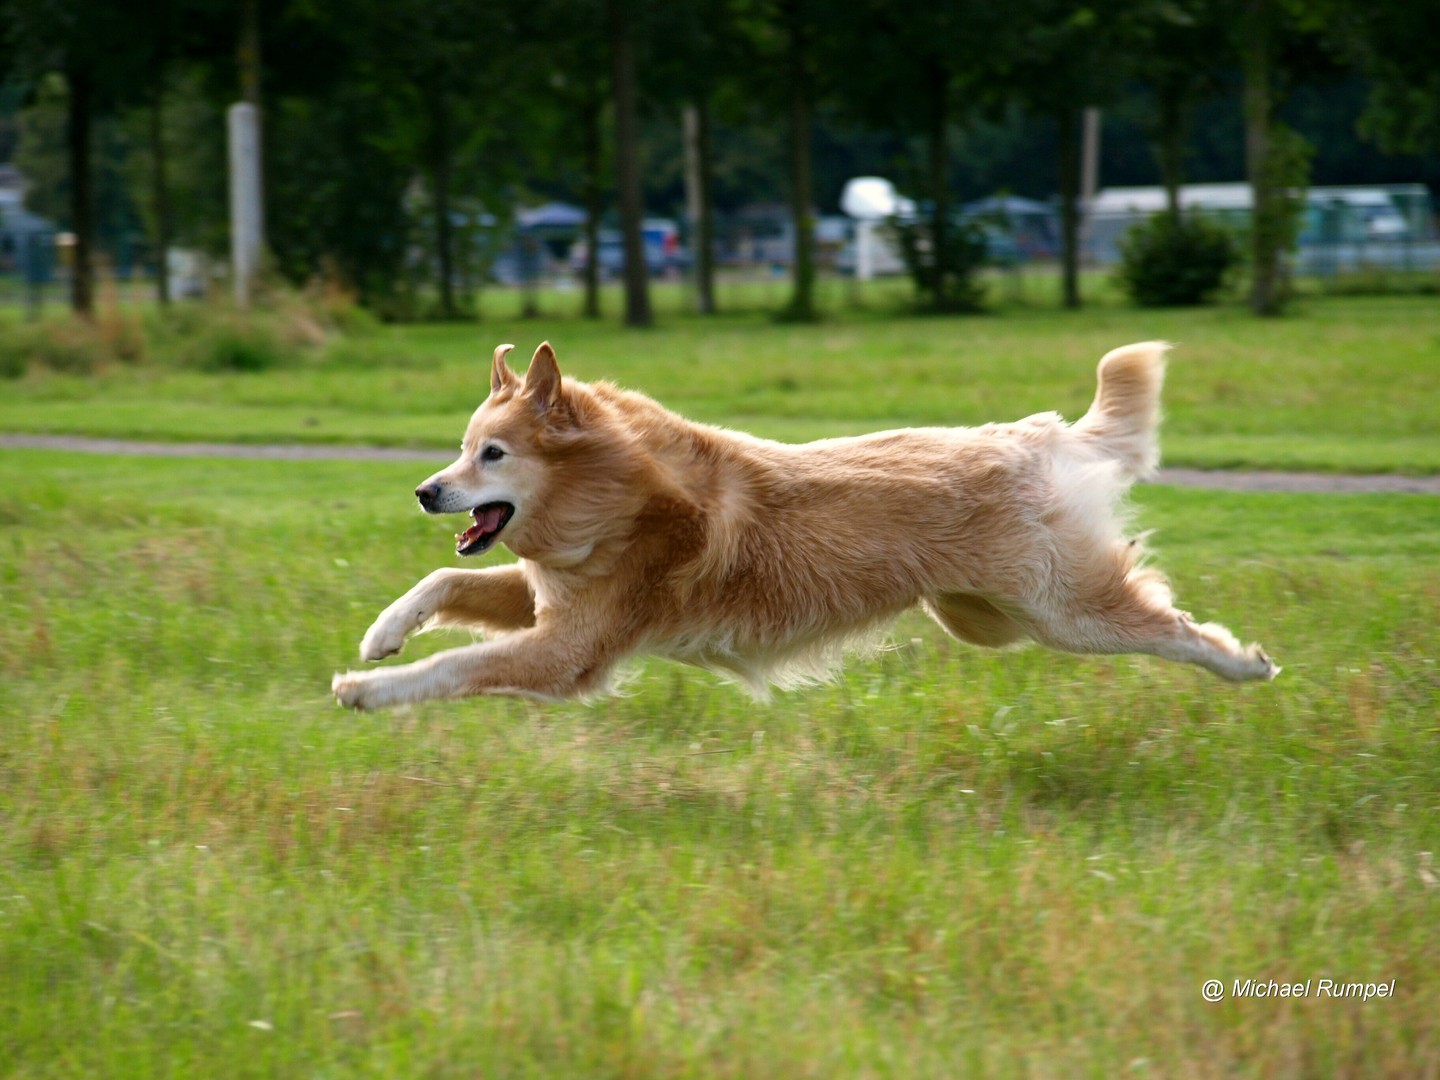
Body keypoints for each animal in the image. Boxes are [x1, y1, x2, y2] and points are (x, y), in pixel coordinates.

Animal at [331, 339, 1278, 711]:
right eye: (461, 450)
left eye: (491, 454)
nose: (424, 492)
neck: (618, 495)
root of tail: (1038, 434)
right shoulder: (552, 598)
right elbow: (447, 579)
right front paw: (381, 635)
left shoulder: (568, 649)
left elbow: (456, 666)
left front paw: (368, 688)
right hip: (984, 619)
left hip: (1062, 613)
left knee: (1168, 625)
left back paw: (1242, 664)